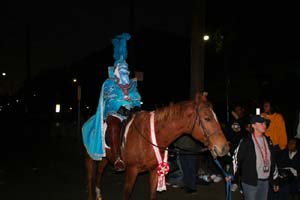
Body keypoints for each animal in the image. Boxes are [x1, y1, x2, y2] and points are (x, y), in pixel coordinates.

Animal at [84, 93, 230, 199]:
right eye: (207, 118)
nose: (224, 148)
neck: (147, 136)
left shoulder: (154, 170)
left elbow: (153, 195)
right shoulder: (131, 171)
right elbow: (126, 194)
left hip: (105, 157)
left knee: (99, 172)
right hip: (90, 158)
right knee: (90, 178)